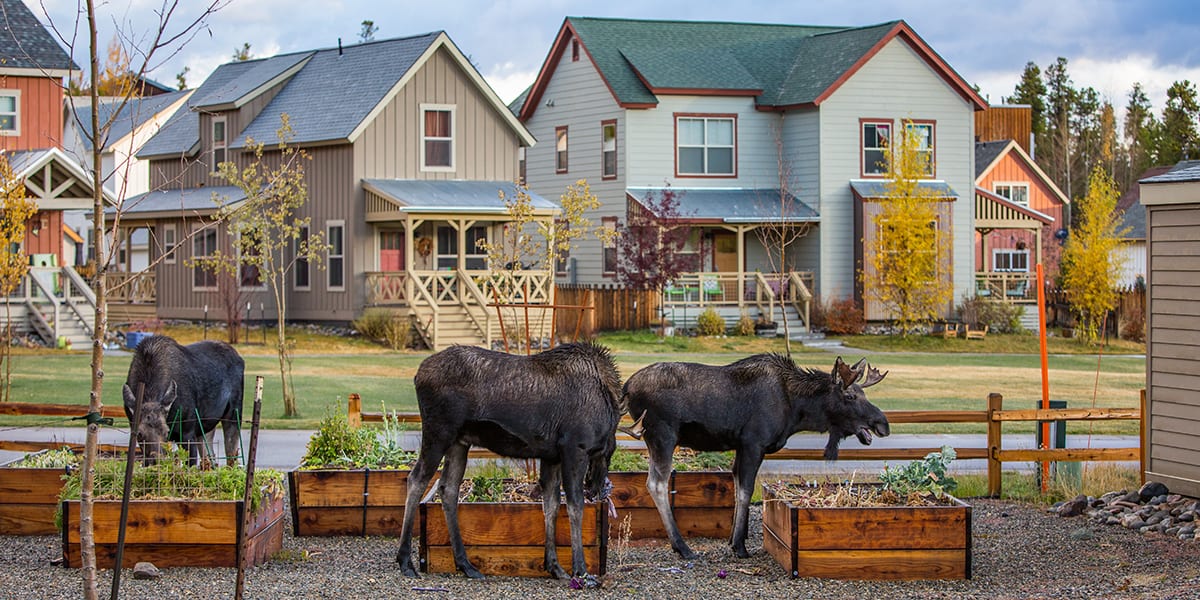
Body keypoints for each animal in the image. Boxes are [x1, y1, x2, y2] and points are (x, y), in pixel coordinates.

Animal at [121, 336, 246, 465]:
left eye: (166, 432)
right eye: (139, 434)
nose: (156, 461)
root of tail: (240, 358)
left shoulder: (187, 433)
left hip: (233, 415)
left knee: (232, 458)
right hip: (206, 426)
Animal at [396, 343, 624, 580]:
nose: (597, 487)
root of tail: (418, 375)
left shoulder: (551, 457)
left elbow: (551, 506)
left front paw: (554, 566)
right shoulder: (574, 448)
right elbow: (575, 505)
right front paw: (580, 570)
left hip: (459, 442)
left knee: (448, 488)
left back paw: (465, 564)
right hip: (439, 433)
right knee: (416, 479)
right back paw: (406, 561)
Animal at [624, 355, 888, 556]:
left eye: (864, 395)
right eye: (850, 396)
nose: (883, 424)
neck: (797, 410)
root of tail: (626, 388)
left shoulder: (740, 446)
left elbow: (737, 486)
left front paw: (732, 539)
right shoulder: (753, 443)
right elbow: (746, 491)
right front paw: (740, 546)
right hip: (663, 434)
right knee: (657, 484)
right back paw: (682, 547)